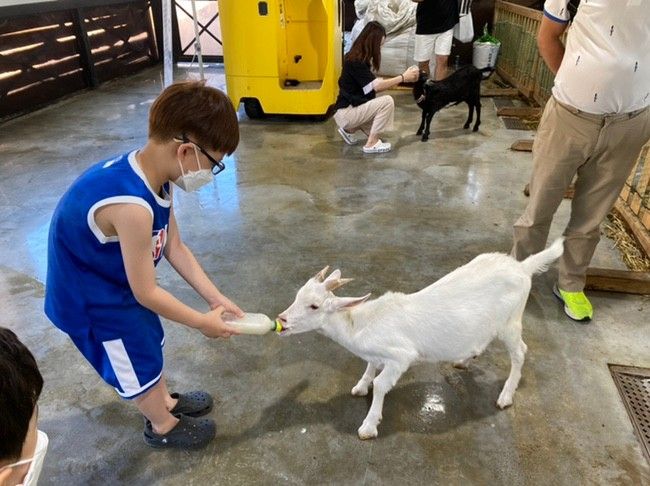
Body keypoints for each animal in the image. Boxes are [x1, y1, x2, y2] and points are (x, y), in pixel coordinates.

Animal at [278, 239, 560, 440]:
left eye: (314, 306)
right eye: (297, 295)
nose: (281, 320)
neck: (360, 323)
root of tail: (522, 267)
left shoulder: (400, 356)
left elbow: (381, 384)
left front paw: (369, 425)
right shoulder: (375, 354)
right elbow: (369, 367)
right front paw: (360, 386)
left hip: (510, 323)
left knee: (520, 352)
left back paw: (506, 395)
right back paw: (464, 360)